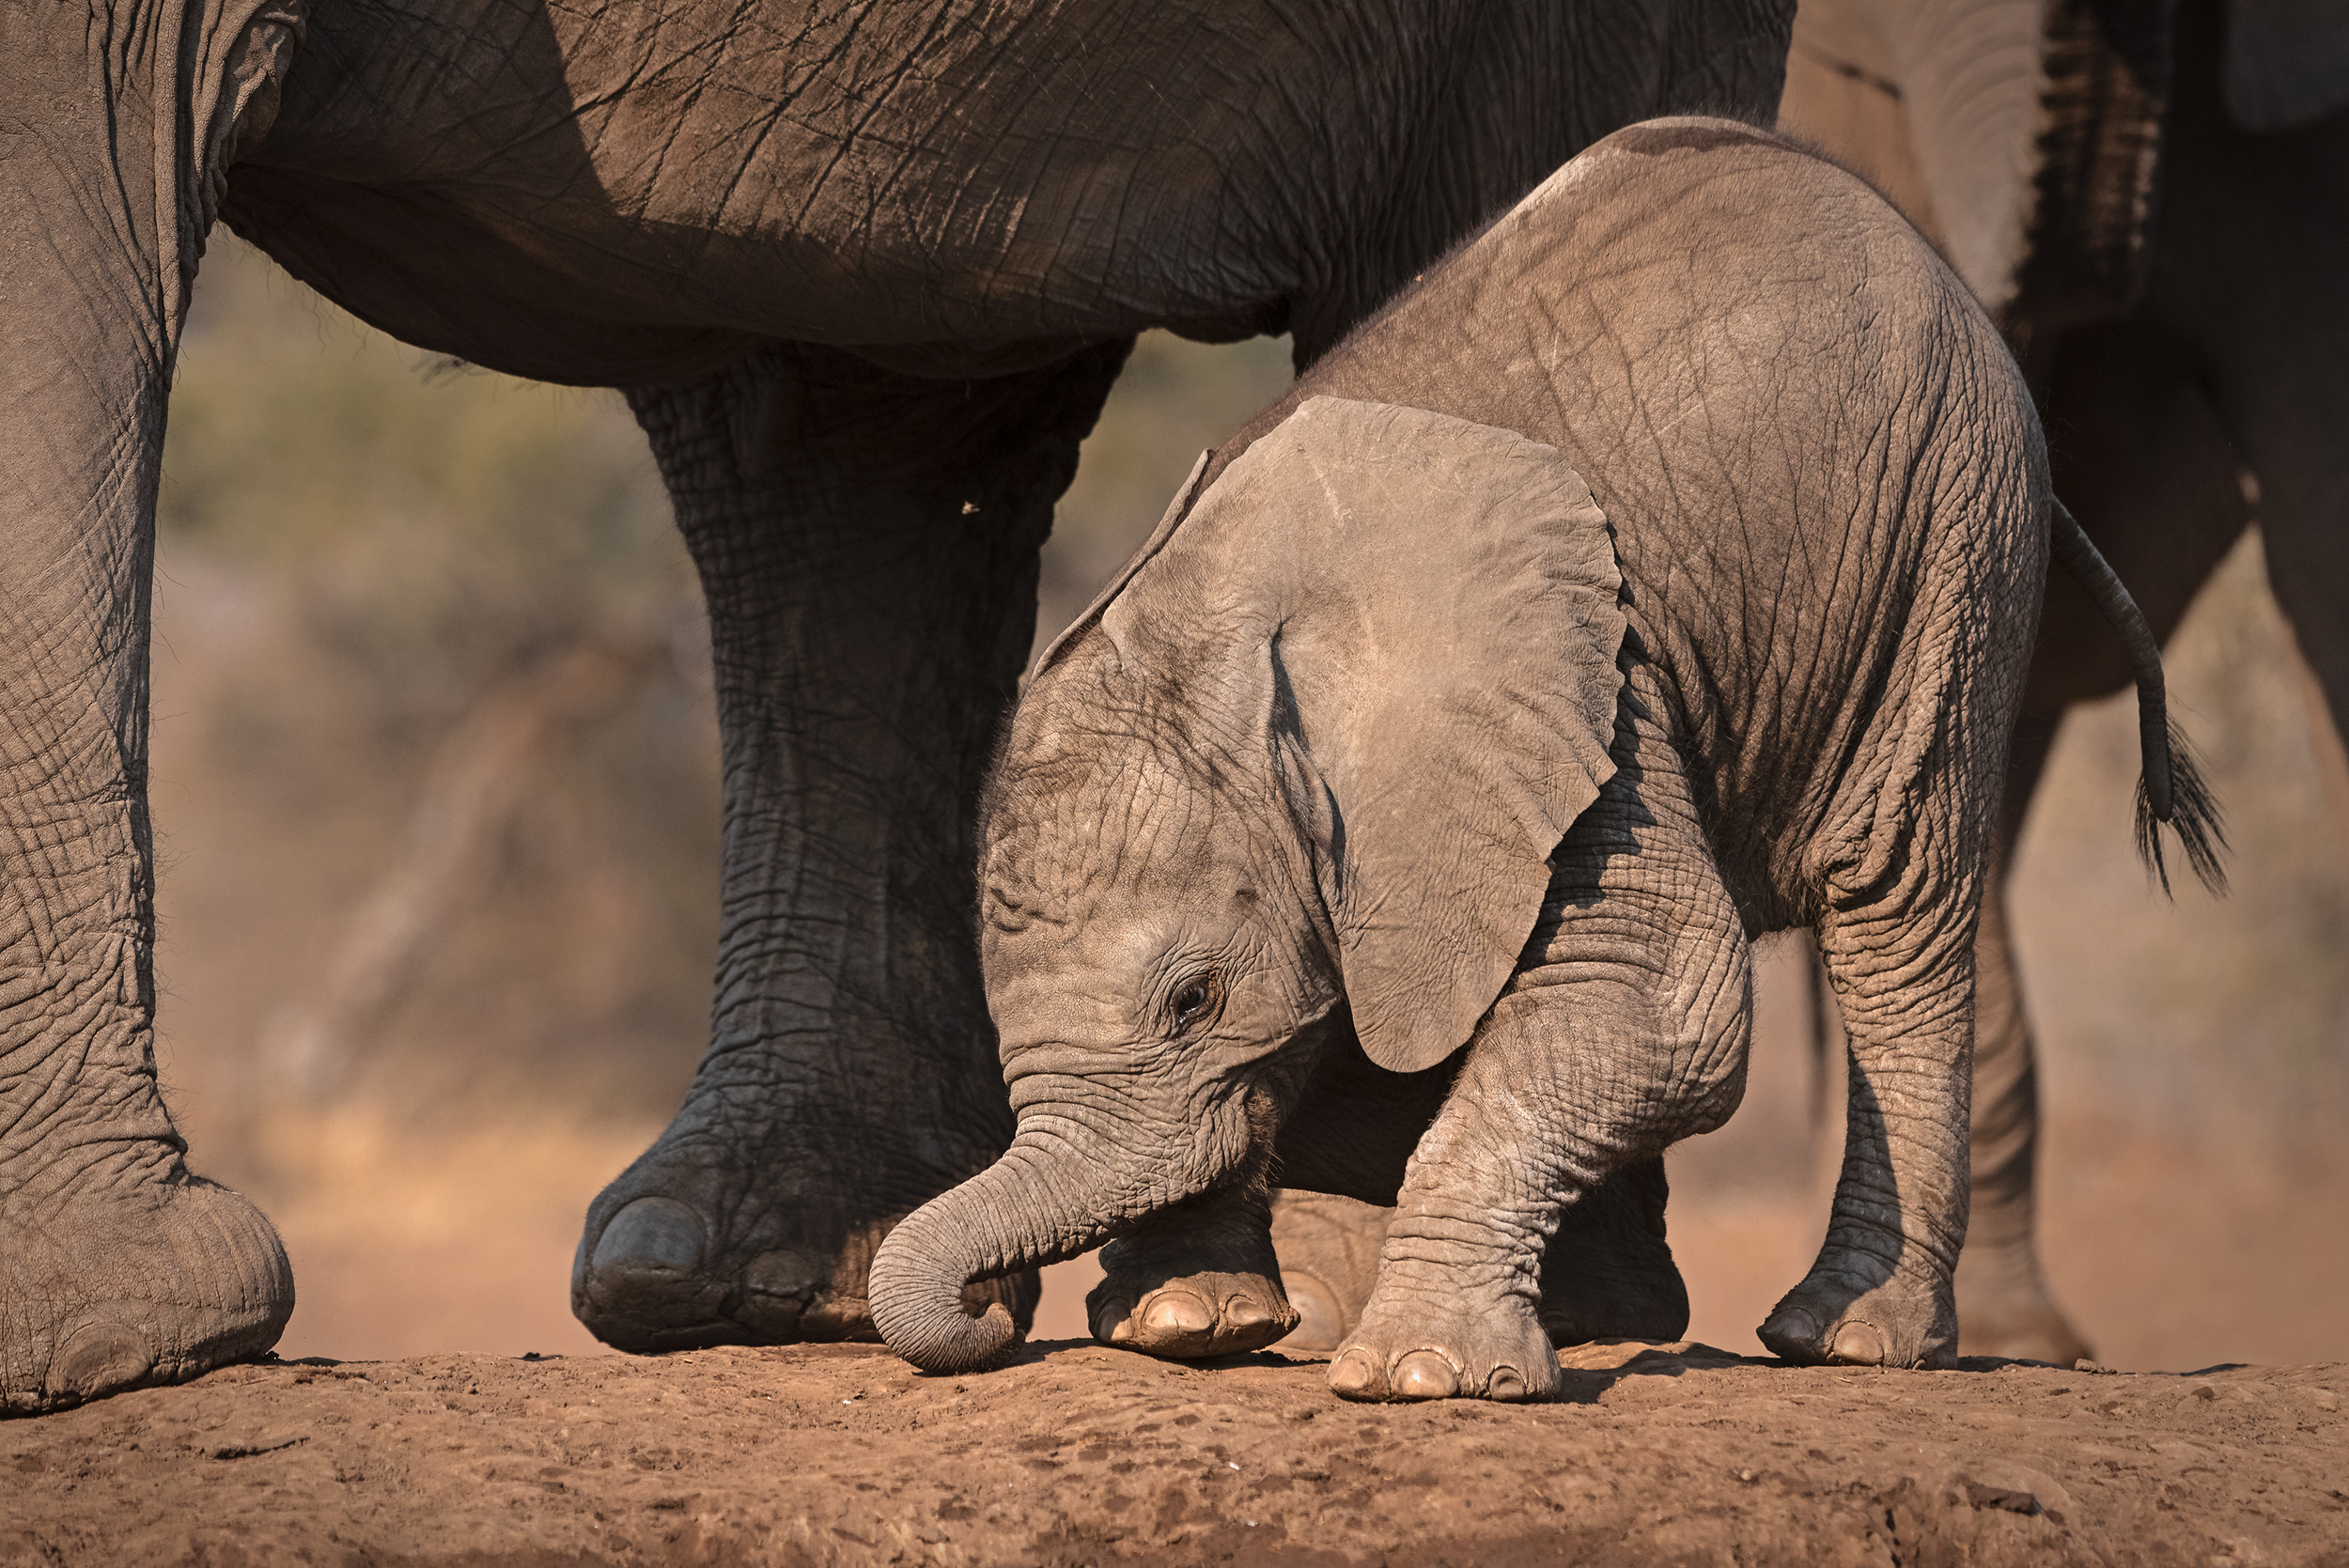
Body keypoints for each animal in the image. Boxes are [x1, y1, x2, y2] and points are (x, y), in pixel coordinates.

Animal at [874, 119, 2208, 1399]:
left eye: (1193, 998)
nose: (988, 1309)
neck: (1220, 619)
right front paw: (1188, 1327)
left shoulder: (1597, 713)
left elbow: (1666, 1004)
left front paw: (1416, 1377)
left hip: (1948, 533)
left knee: (1894, 900)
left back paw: (1844, 1341)